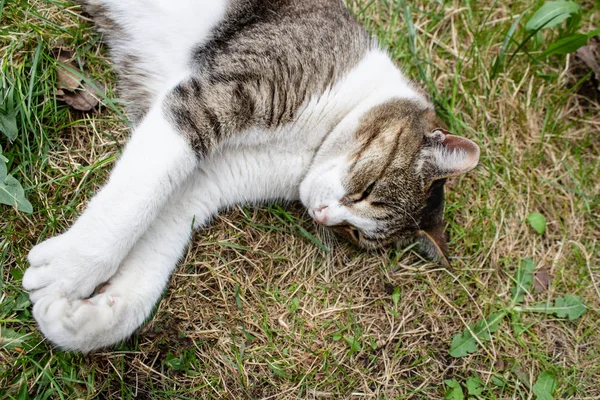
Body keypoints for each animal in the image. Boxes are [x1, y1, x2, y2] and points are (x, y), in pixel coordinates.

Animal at [23, 0, 480, 354]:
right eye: (366, 191)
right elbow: (137, 195)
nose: (323, 215)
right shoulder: (215, 97)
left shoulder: (209, 179)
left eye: (356, 234)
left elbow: (162, 231)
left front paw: (87, 320)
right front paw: (66, 270)